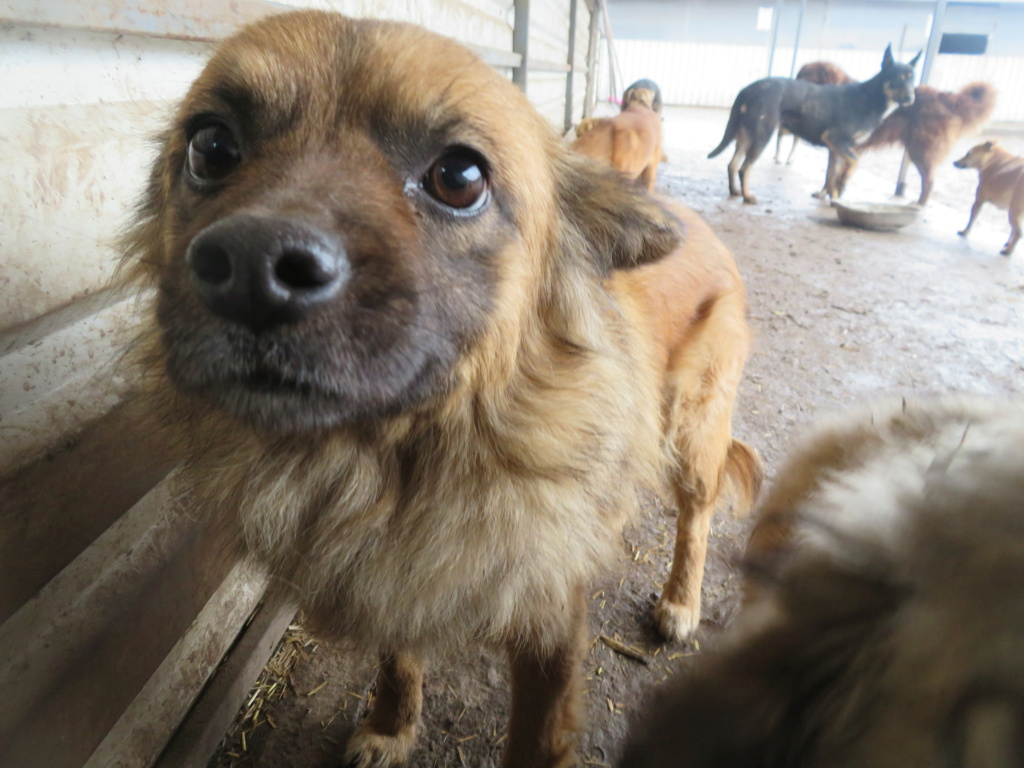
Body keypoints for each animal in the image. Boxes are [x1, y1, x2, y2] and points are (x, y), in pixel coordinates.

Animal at [712, 45, 921, 204]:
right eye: (898, 78)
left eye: (913, 78)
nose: (912, 98)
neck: (871, 97)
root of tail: (747, 89)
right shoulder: (838, 141)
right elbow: (852, 164)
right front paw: (839, 189)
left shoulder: (835, 148)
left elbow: (830, 174)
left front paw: (829, 196)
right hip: (763, 135)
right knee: (744, 168)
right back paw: (747, 196)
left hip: (745, 135)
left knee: (732, 165)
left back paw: (735, 191)